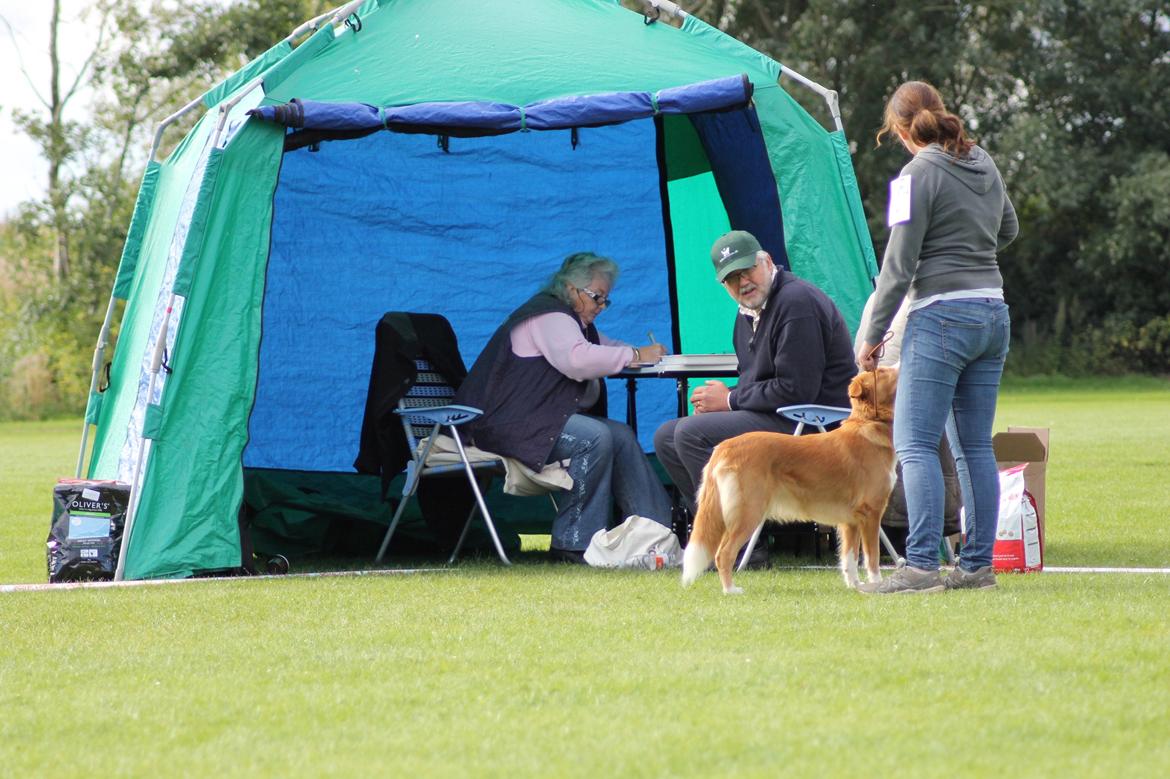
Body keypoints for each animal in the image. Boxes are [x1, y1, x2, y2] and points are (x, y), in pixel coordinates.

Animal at [683, 367, 898, 591]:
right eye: (882, 371)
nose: (898, 364)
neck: (870, 423)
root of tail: (725, 446)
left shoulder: (851, 520)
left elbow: (850, 558)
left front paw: (855, 586)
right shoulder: (870, 512)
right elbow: (872, 557)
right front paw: (877, 585)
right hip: (748, 511)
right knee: (723, 553)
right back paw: (731, 590)